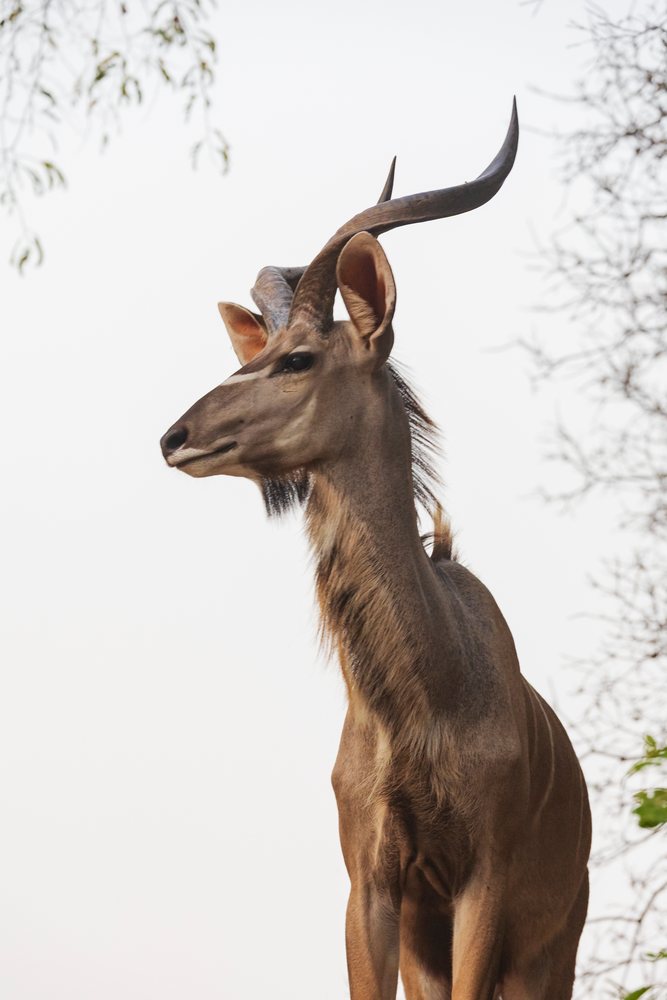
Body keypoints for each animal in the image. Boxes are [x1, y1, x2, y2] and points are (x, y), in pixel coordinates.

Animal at [160, 101, 591, 1000]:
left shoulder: (481, 884)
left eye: (297, 358)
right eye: (253, 353)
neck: (429, 696)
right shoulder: (371, 884)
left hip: (548, 955)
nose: (174, 437)